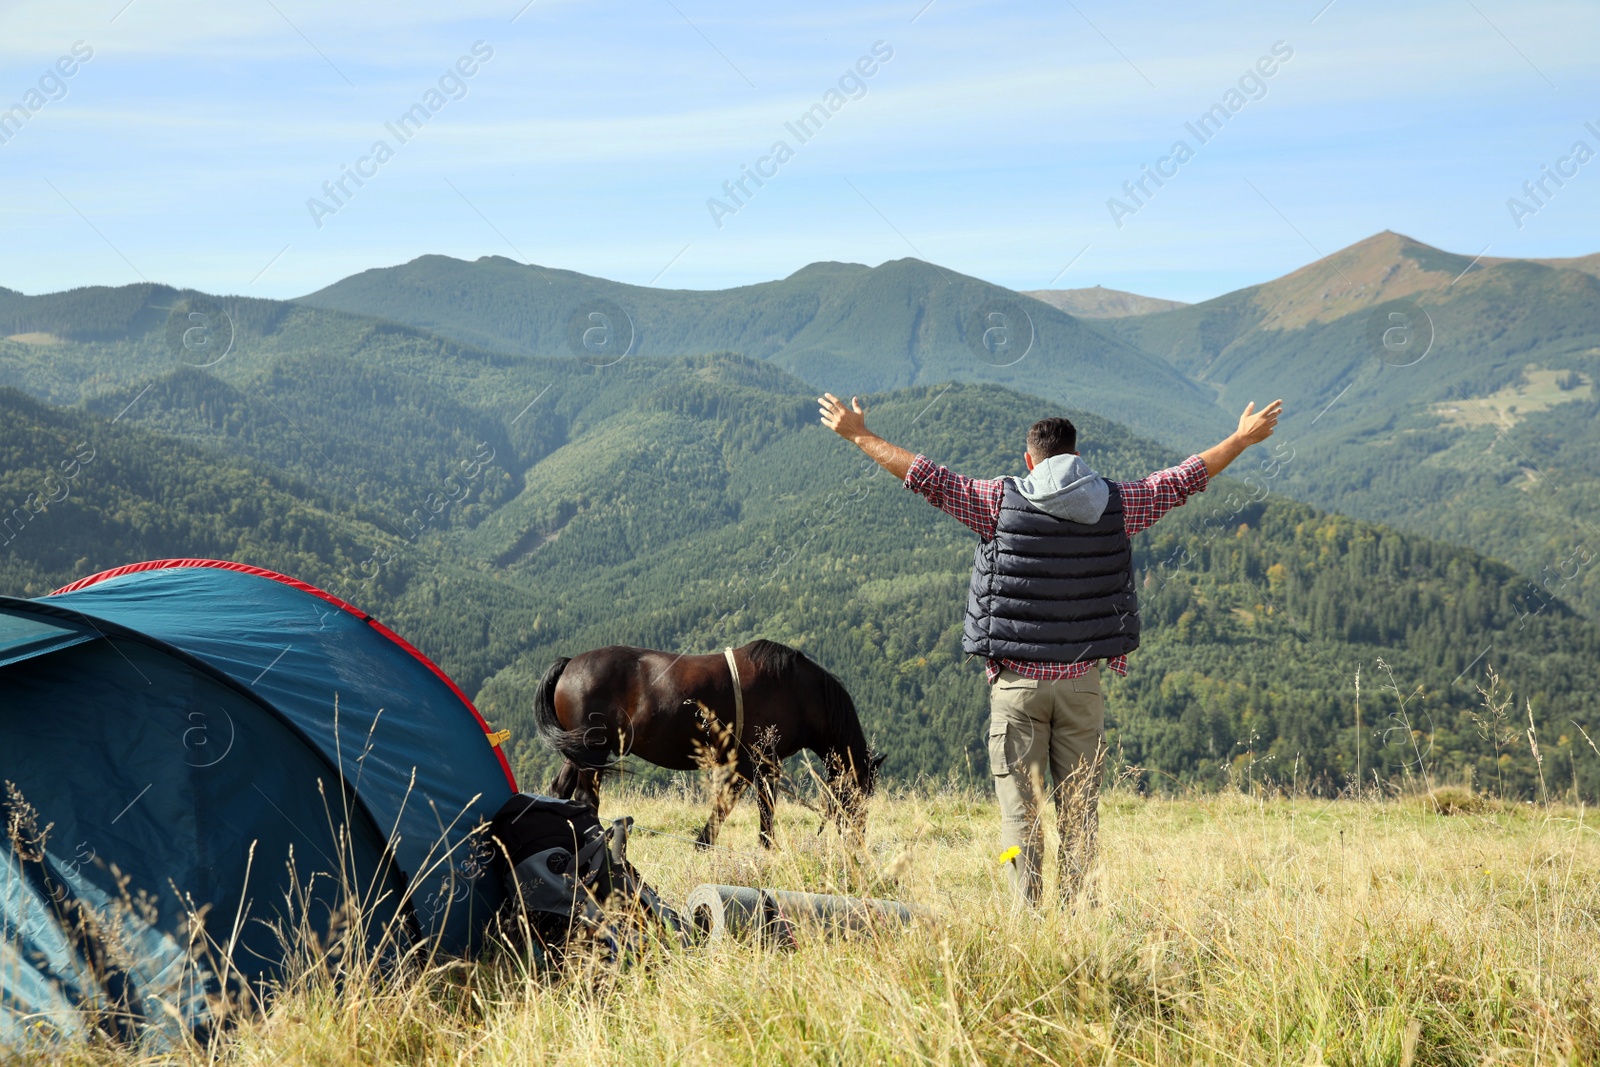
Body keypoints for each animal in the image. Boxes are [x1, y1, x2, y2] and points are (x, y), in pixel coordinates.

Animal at [537, 639, 889, 844]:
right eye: (858, 796)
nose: (857, 840)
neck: (797, 692)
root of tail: (569, 664)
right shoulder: (761, 764)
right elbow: (759, 812)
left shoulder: (745, 766)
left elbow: (728, 809)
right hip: (593, 751)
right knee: (586, 798)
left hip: (578, 752)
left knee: (560, 790)